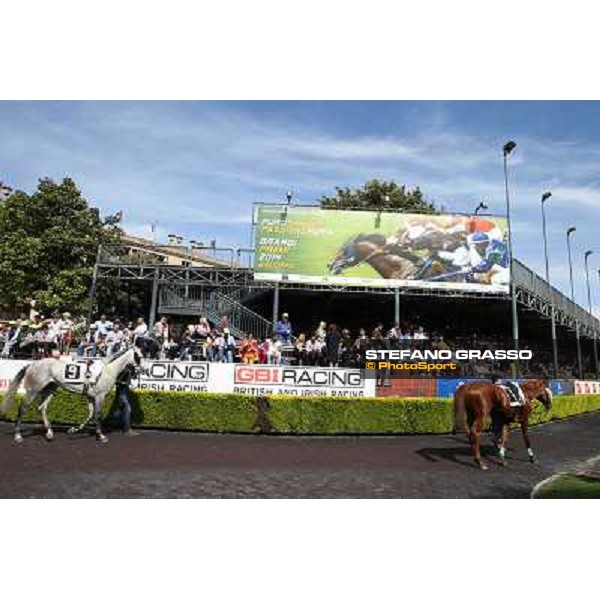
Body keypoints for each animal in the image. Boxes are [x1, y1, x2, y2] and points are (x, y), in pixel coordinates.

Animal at [0, 344, 143, 442]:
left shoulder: (90, 396)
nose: (144, 368)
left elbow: (91, 414)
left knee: (42, 408)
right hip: (33, 389)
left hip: (50, 388)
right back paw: (18, 436)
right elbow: (97, 415)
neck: (107, 370)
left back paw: (49, 433)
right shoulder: (99, 396)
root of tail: (31, 364)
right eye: (138, 356)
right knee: (23, 408)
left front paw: (73, 429)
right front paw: (101, 436)